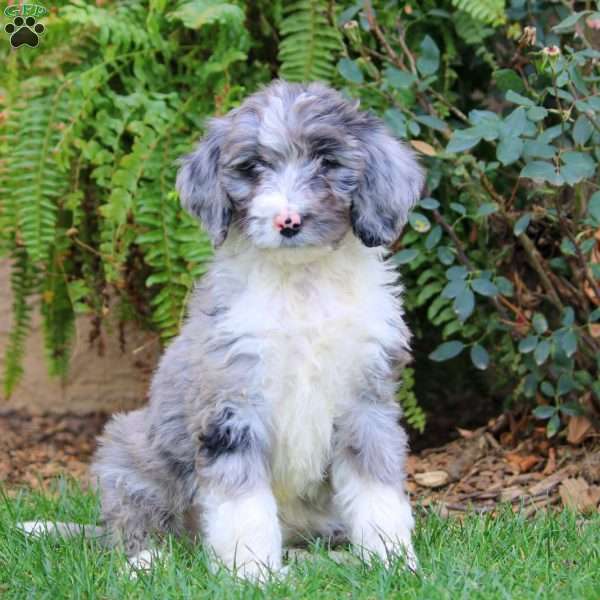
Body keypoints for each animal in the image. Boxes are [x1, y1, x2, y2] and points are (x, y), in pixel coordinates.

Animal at [19, 82, 422, 580]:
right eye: (252, 168)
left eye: (328, 162)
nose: (288, 221)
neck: (301, 281)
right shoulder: (231, 405)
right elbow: (242, 502)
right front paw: (252, 573)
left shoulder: (367, 402)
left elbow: (376, 489)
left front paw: (392, 560)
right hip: (128, 451)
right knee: (133, 524)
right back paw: (148, 563)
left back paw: (324, 559)